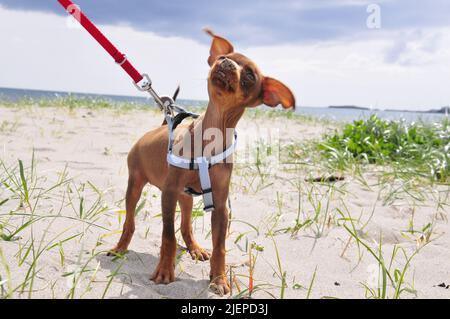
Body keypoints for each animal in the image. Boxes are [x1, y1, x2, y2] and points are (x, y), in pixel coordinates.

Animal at [110, 28, 296, 296]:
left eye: (250, 75)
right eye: (224, 58)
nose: (225, 63)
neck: (210, 136)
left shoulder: (219, 205)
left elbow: (219, 246)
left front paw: (218, 278)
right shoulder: (168, 193)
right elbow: (168, 236)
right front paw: (164, 271)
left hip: (185, 198)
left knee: (186, 226)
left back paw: (195, 248)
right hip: (135, 184)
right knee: (130, 221)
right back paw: (120, 247)